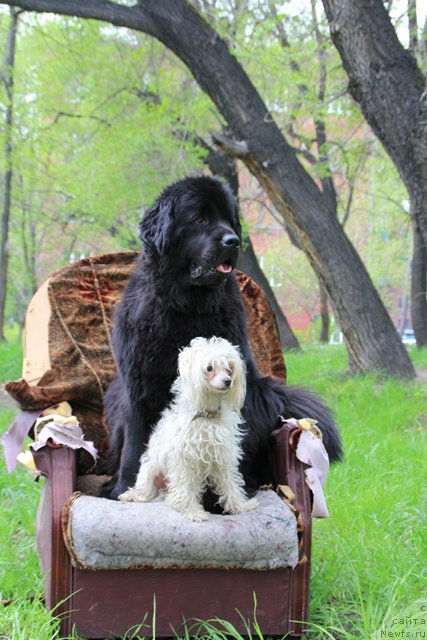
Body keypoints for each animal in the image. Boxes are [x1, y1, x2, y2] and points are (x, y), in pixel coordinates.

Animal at [101, 175, 344, 500]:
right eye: (199, 219)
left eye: (229, 220)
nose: (233, 241)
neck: (187, 306)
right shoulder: (137, 385)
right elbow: (137, 440)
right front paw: (126, 487)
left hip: (260, 392)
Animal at [118, 336, 258, 520]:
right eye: (209, 368)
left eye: (229, 368)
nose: (228, 381)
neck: (208, 416)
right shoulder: (183, 459)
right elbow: (184, 486)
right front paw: (191, 510)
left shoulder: (223, 456)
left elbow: (230, 483)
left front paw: (239, 506)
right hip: (150, 473)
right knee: (147, 491)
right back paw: (135, 496)